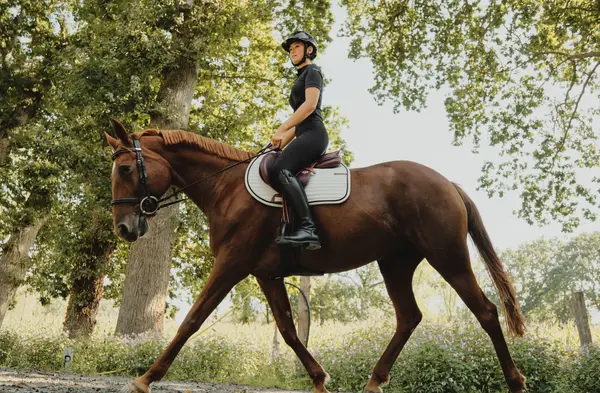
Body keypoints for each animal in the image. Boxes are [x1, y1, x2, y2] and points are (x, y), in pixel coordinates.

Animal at [105, 118, 528, 392]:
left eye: (125, 169)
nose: (125, 228)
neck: (226, 187)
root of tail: (447, 183)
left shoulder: (232, 263)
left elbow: (191, 320)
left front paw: (145, 379)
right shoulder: (266, 273)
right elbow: (289, 330)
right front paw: (321, 379)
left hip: (448, 256)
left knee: (486, 312)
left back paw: (516, 381)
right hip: (395, 263)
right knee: (409, 317)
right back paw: (374, 382)